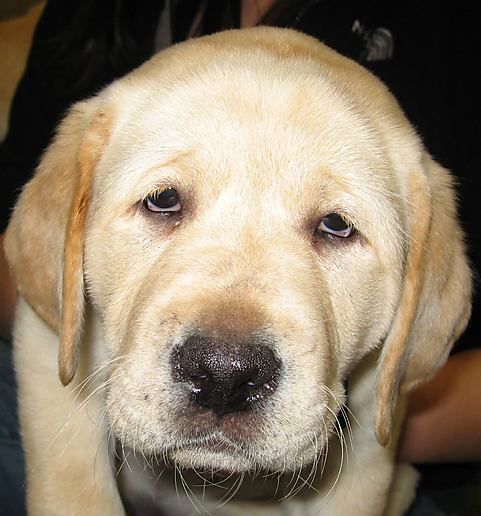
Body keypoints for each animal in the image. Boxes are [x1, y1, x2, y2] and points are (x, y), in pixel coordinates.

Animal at [3, 28, 468, 516]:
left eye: (336, 226)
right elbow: (74, 486)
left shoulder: (369, 443)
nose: (225, 374)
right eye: (163, 200)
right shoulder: (49, 353)